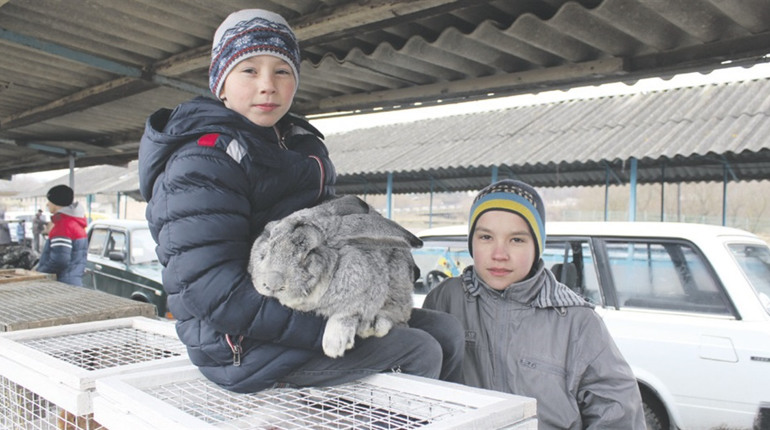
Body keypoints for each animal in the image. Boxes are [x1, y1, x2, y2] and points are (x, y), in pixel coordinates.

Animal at [248, 195, 420, 356]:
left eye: (310, 252)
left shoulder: (365, 294)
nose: (272, 284)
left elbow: (347, 313)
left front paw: (334, 345)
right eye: (269, 244)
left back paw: (375, 324)